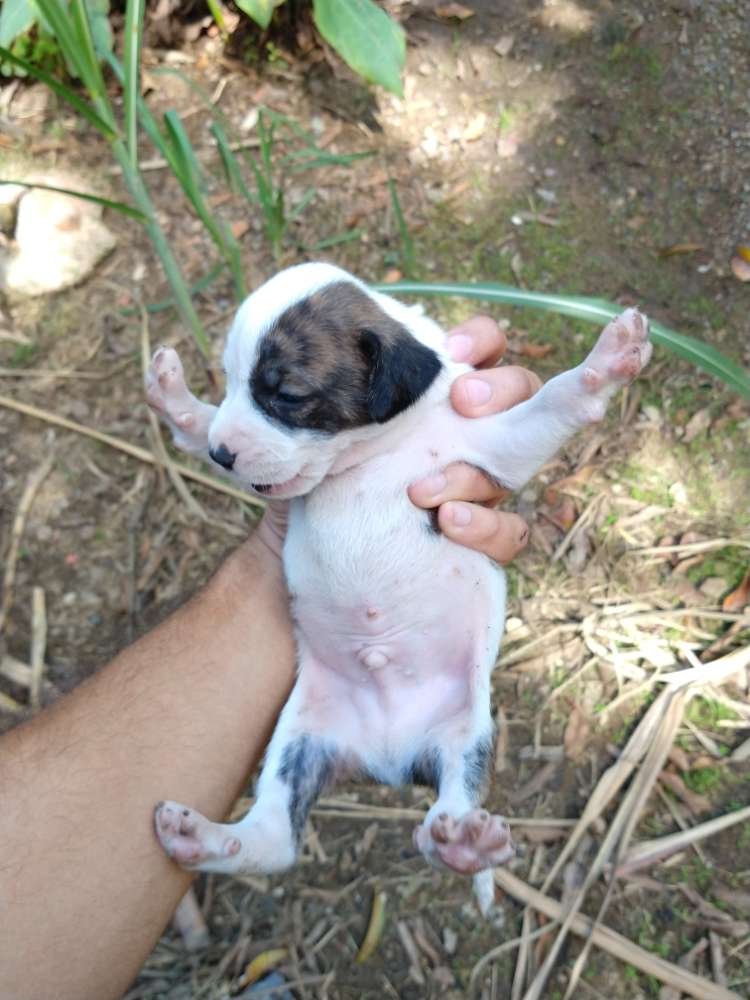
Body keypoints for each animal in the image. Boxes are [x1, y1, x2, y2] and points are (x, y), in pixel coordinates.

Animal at [147, 260, 652, 916]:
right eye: (231, 383)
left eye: (286, 395)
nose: (222, 455)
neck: (369, 455)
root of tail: (386, 759)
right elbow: (200, 419)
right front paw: (176, 399)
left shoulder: (492, 447)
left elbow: (557, 398)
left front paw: (608, 359)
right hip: (298, 741)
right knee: (275, 838)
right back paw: (203, 838)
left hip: (465, 737)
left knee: (445, 810)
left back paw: (463, 844)